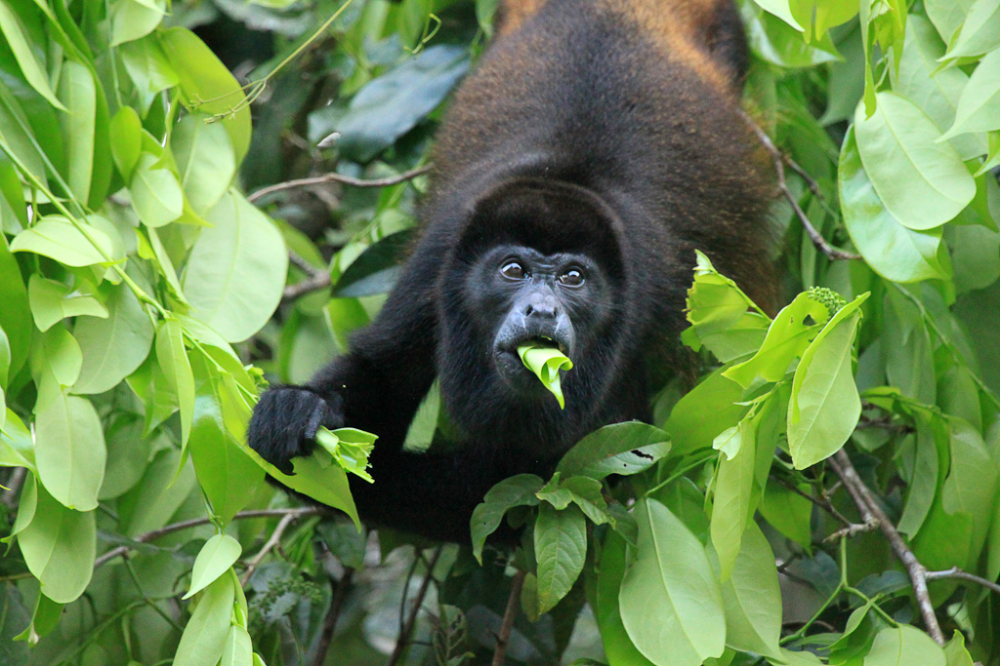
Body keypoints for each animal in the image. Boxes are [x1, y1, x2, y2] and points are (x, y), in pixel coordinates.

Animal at [248, 0, 772, 544]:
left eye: (573, 278)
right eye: (513, 270)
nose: (541, 309)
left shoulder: (647, 287)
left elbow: (532, 472)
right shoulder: (439, 257)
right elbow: (382, 372)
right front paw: (295, 410)